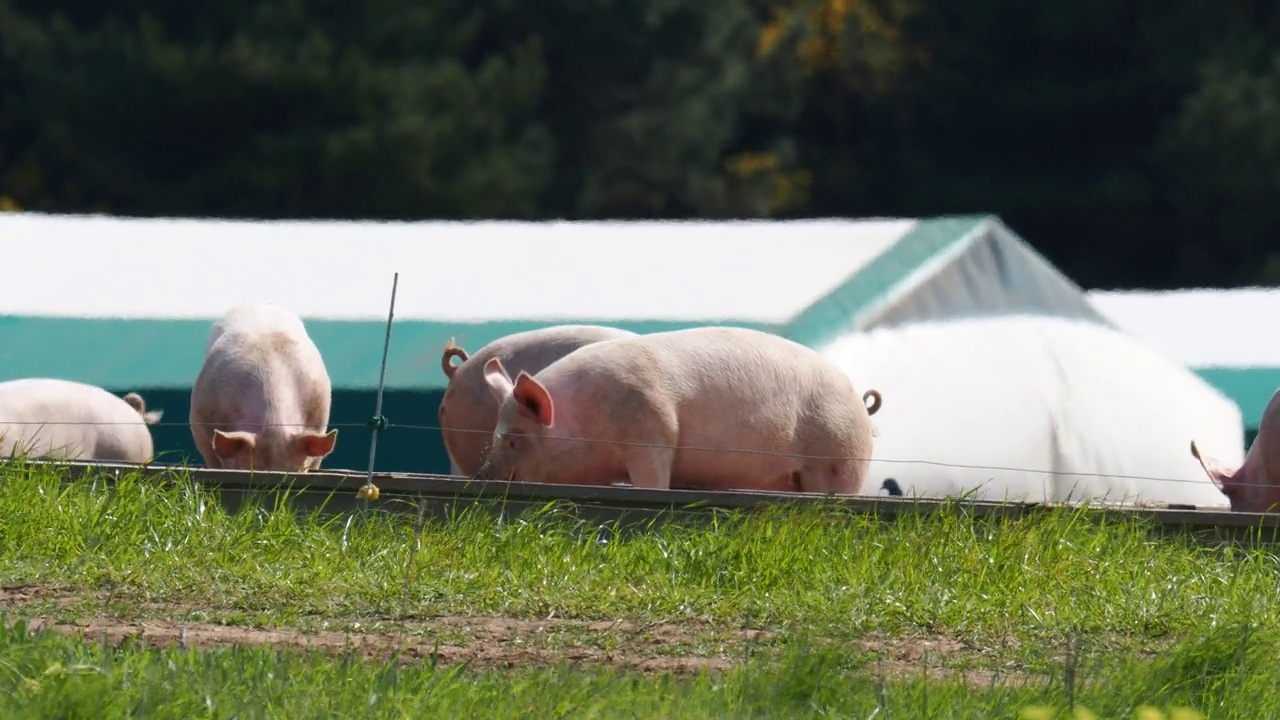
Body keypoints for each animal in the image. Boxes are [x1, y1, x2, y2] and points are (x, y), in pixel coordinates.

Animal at [476, 325, 885, 491]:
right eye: (493, 435)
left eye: (513, 439)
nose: (482, 476)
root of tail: (860, 405)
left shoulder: (653, 431)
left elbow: (654, 480)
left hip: (838, 458)